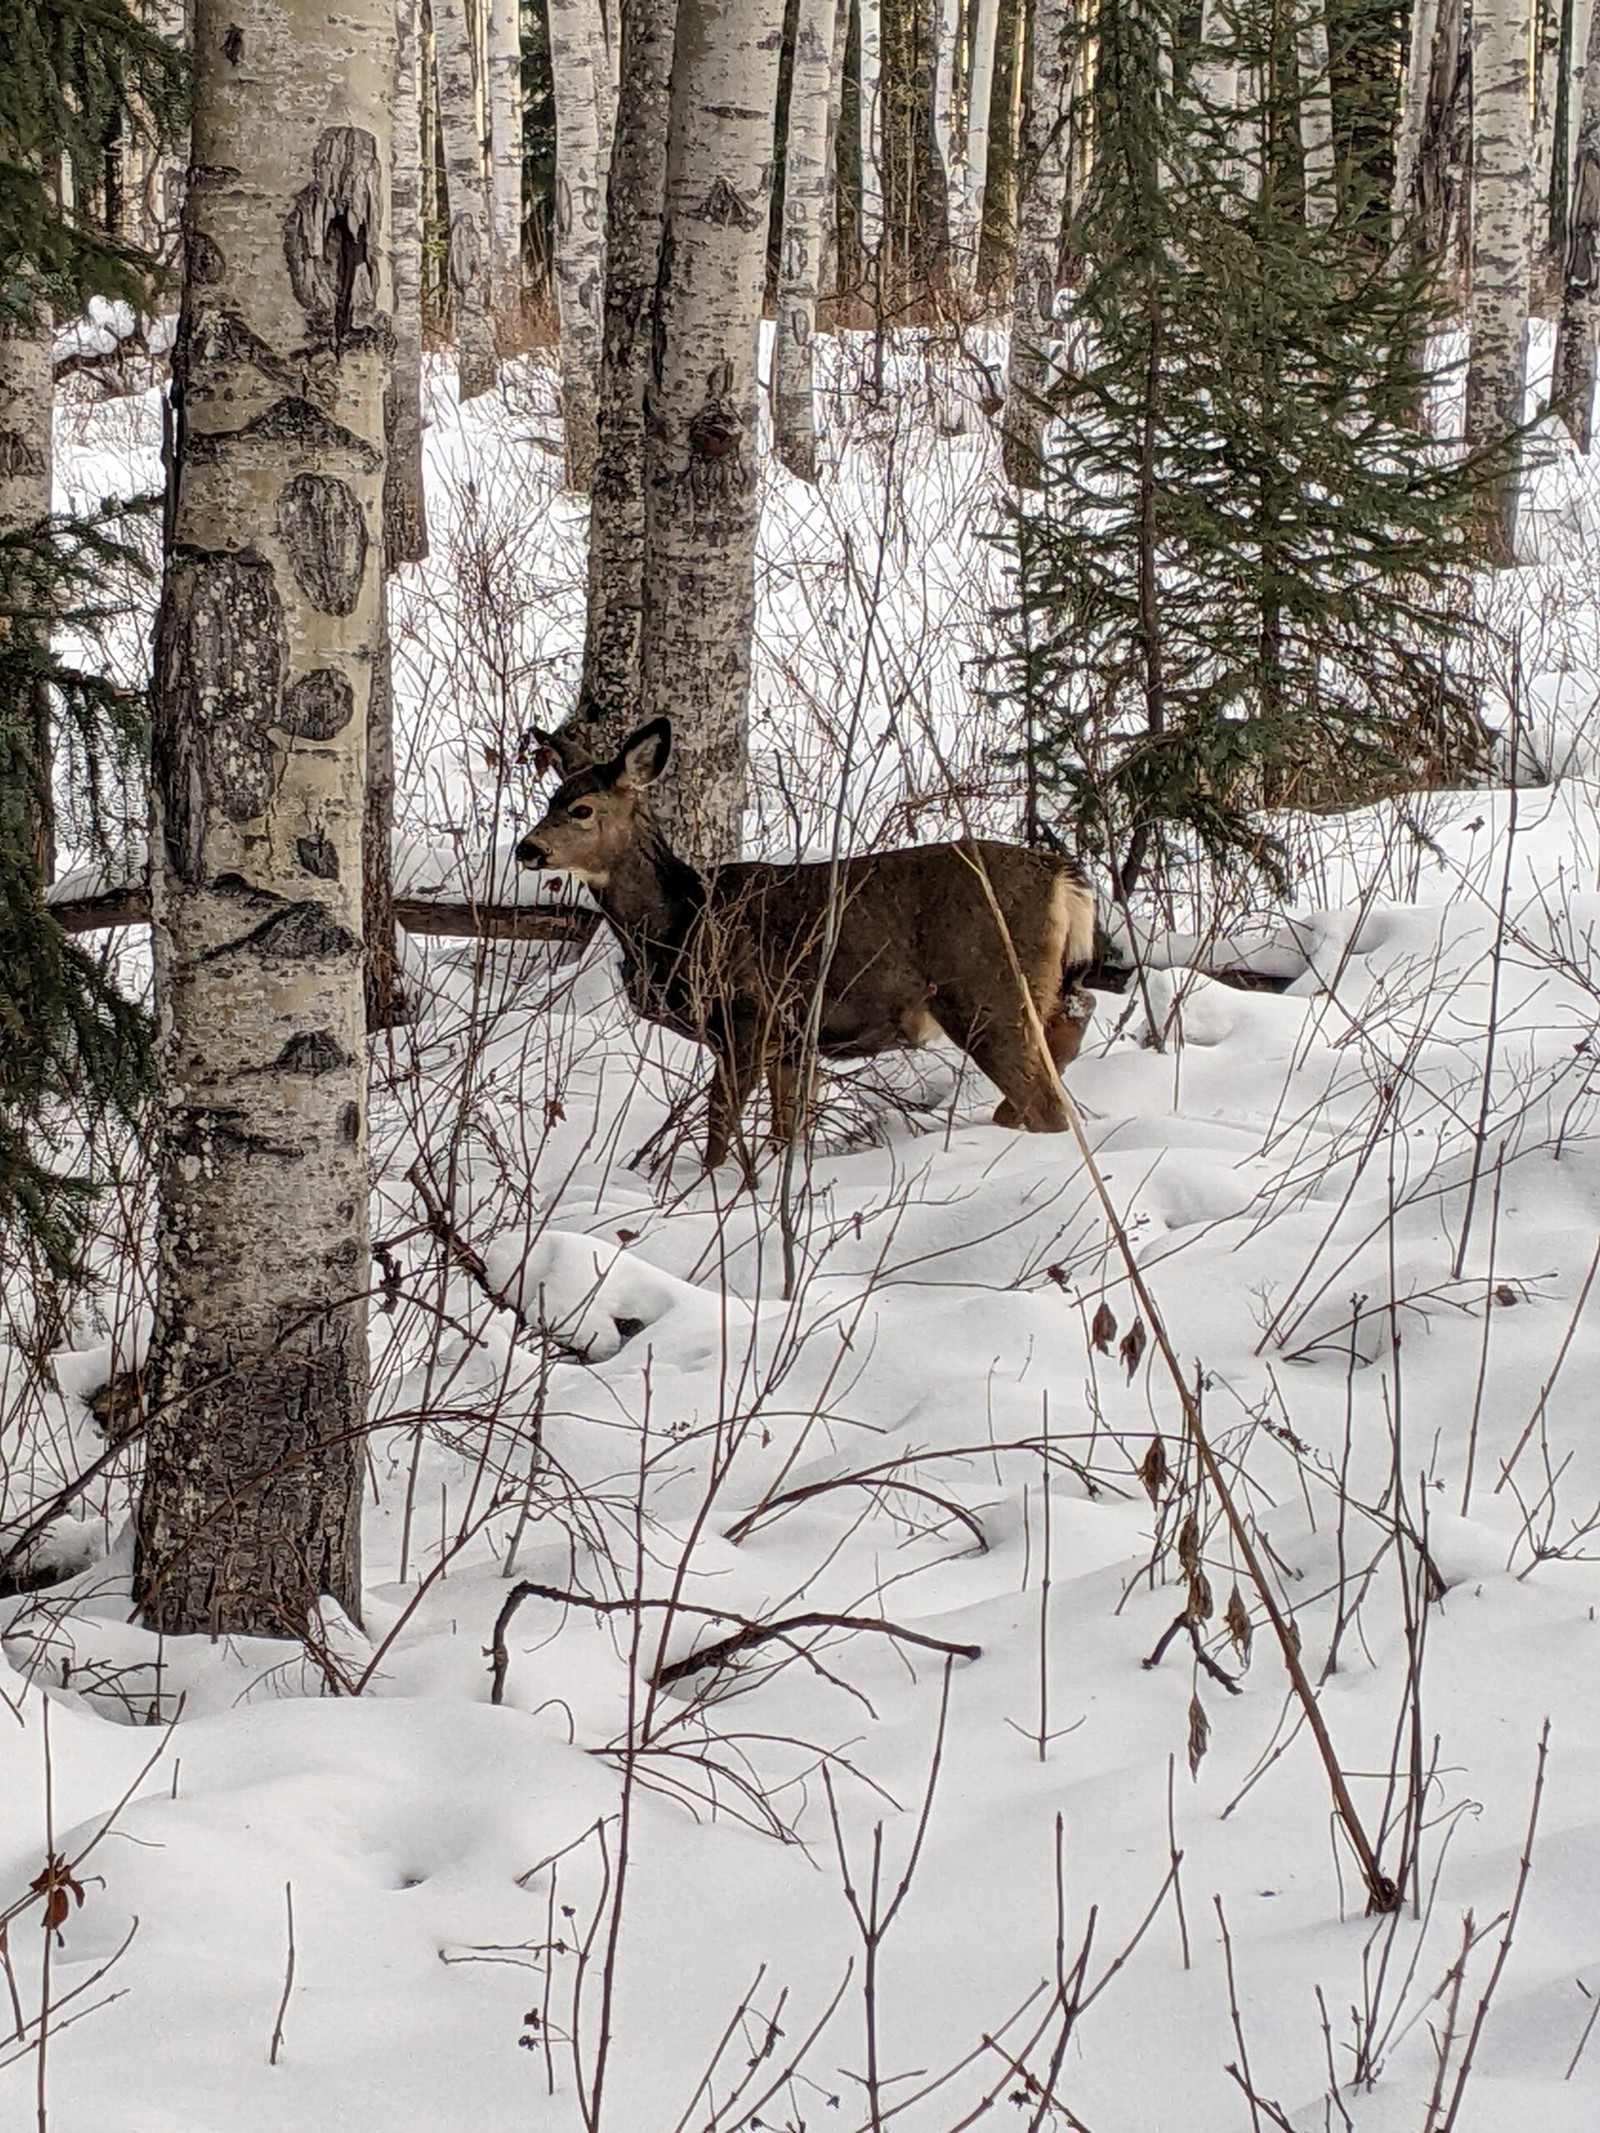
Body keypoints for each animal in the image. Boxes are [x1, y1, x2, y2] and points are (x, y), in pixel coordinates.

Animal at [515, 718, 1096, 1175]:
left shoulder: (747, 1016)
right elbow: (785, 1128)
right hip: (1036, 993)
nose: (528, 848)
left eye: (582, 809)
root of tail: (1061, 877)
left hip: (986, 994)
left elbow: (720, 1128)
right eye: (550, 801)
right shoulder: (793, 1039)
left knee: (1047, 1104)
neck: (680, 920)